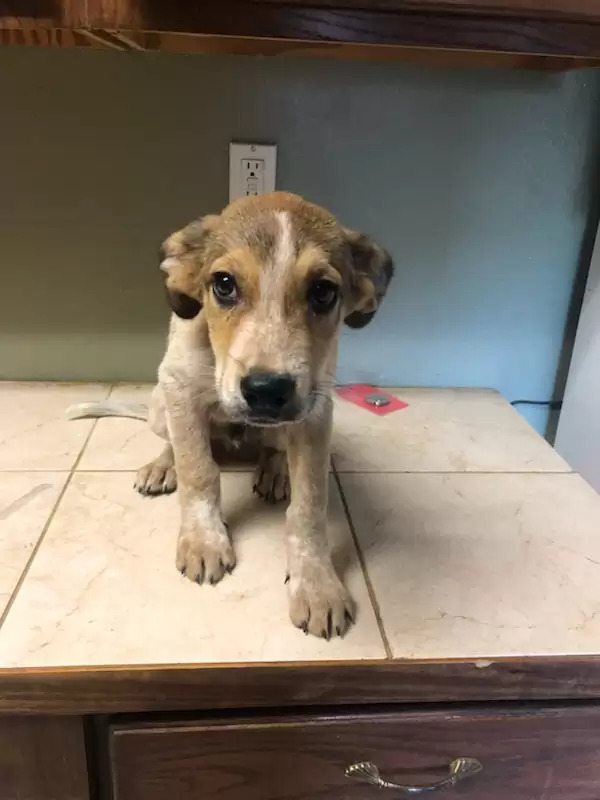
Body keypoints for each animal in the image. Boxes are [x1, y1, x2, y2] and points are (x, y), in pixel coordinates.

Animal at [82, 194, 392, 636]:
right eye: (224, 284)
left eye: (323, 291)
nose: (266, 390)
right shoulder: (180, 389)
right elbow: (199, 473)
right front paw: (204, 541)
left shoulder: (315, 412)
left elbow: (309, 506)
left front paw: (316, 584)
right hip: (160, 402)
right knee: (173, 442)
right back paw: (162, 466)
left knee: (273, 448)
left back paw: (275, 471)